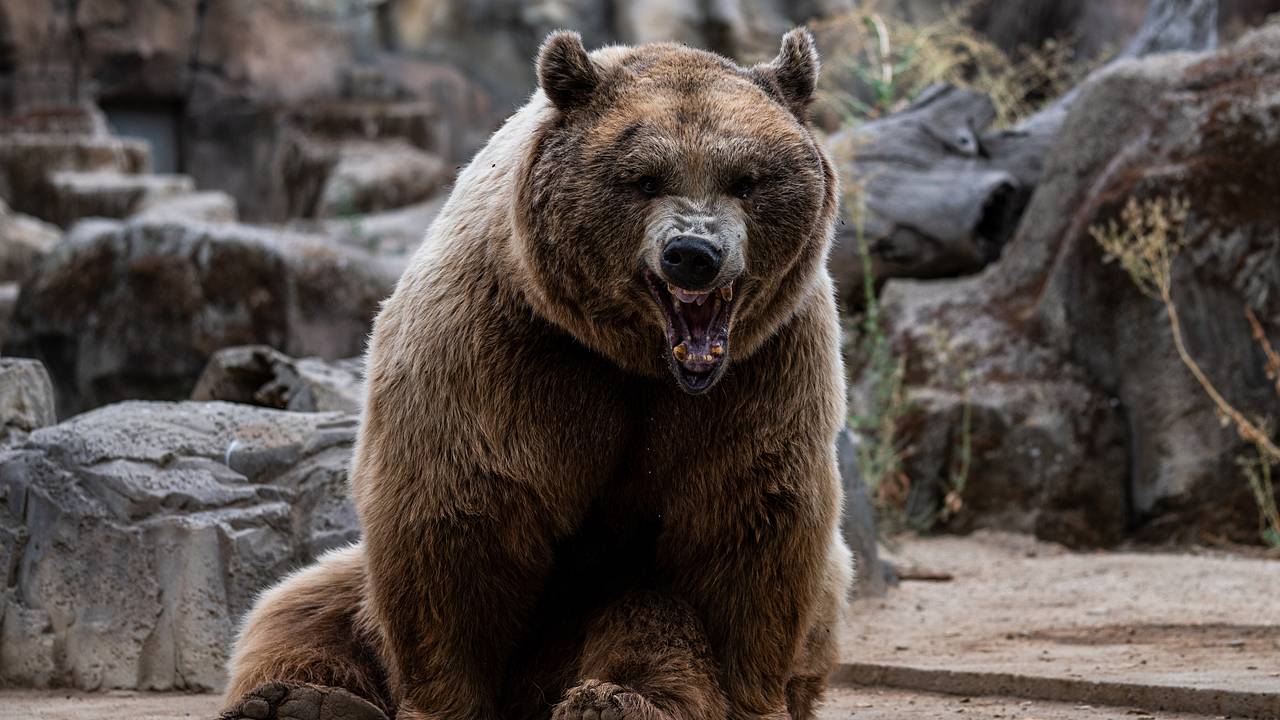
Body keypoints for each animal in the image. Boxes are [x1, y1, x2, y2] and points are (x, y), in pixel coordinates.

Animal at [222, 28, 849, 717]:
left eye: (746, 179)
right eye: (644, 179)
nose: (693, 253)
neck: (636, 358)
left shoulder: (763, 371)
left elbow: (747, 522)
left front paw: (749, 695)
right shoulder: (504, 347)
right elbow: (459, 517)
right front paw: (446, 699)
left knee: (648, 615)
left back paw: (616, 699)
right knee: (297, 604)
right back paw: (297, 696)